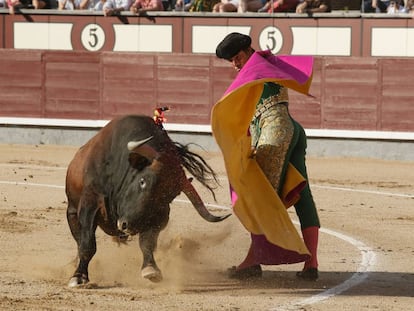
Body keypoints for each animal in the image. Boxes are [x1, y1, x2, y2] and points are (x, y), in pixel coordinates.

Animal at [64, 114, 230, 288]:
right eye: (142, 181)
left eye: (169, 196)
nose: (129, 226)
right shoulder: (90, 205)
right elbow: (87, 244)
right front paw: (79, 277)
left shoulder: (159, 217)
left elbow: (147, 243)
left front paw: (151, 269)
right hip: (72, 211)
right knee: (79, 239)